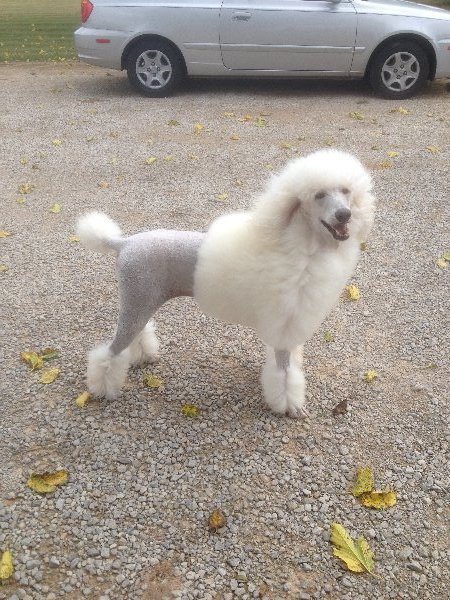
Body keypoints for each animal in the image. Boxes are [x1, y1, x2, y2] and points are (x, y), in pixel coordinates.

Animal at [77, 149, 375, 417]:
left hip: (143, 301)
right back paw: (102, 389)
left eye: (346, 191)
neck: (300, 248)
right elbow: (284, 375)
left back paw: (143, 356)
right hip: (136, 301)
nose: (344, 215)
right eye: (318, 195)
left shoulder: (284, 326)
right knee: (109, 353)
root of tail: (123, 243)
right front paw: (289, 407)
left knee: (139, 332)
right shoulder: (284, 326)